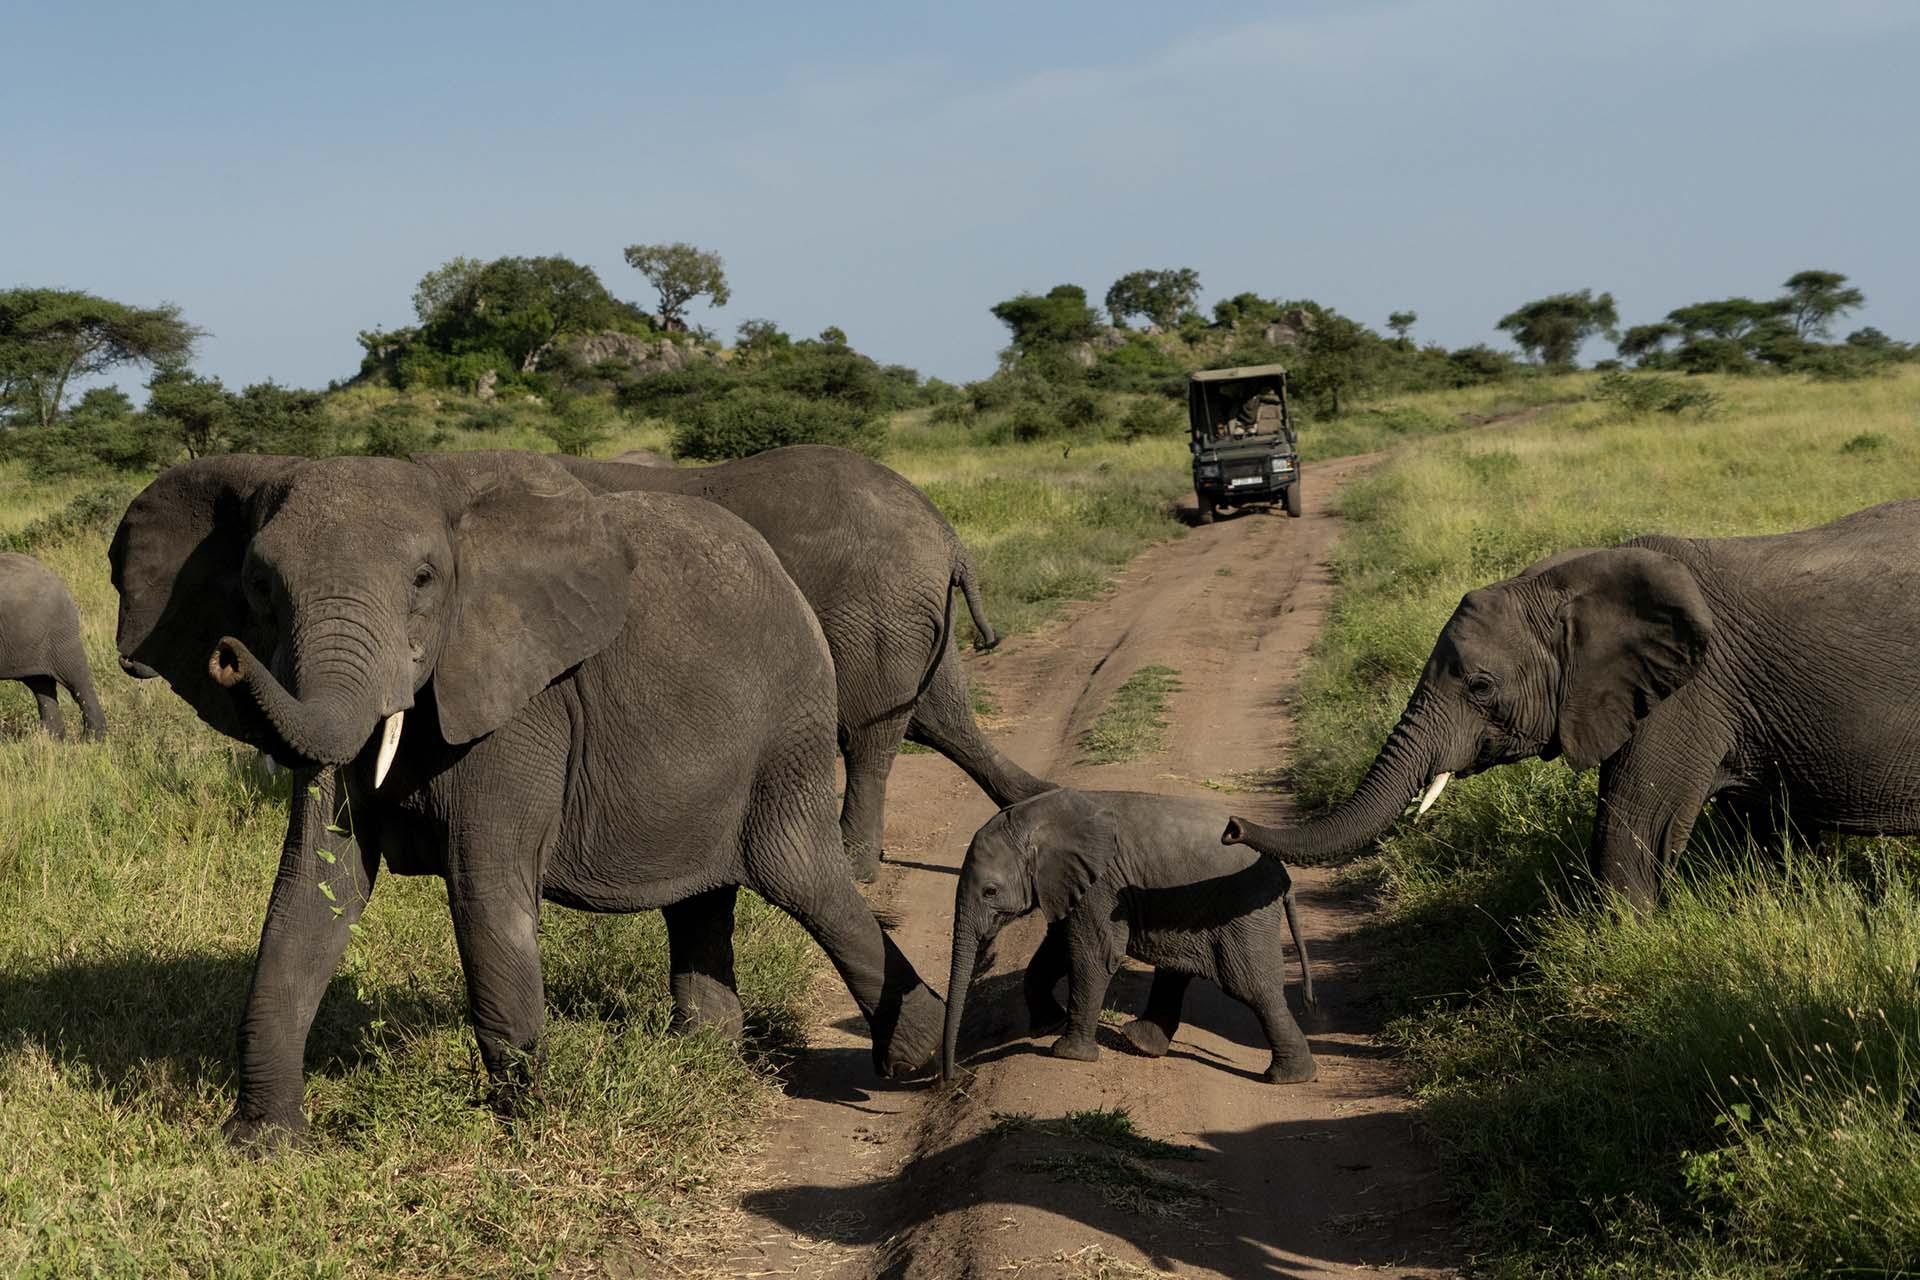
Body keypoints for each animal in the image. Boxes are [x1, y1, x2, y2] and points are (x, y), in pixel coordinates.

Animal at [108, 452, 940, 1151]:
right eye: (257, 587)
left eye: (424, 581)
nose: (227, 656)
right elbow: (312, 890)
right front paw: (261, 1147)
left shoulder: (523, 704)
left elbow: (485, 887)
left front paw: (524, 1127)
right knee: (702, 898)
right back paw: (698, 1057)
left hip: (789, 725)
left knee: (803, 878)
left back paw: (919, 1060)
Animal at [560, 443, 1052, 882]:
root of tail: (948, 538)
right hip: (916, 614)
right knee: (943, 719)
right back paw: (1041, 798)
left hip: (874, 612)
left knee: (868, 735)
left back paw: (855, 868)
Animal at [944, 786, 1320, 1090]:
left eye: (990, 891)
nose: (952, 1078)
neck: (1036, 818)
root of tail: (1283, 876)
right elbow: (1055, 951)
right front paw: (1045, 1026)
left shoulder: (1100, 886)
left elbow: (1091, 956)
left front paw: (1066, 1055)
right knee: (1181, 971)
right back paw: (1140, 1042)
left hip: (1242, 913)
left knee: (1250, 986)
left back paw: (1288, 1078)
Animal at [1221, 498, 1920, 909]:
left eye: (1479, 686)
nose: (1230, 825)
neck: (1571, 584)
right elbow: (1767, 835)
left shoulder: (1690, 695)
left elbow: (1633, 829)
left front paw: (1632, 946)